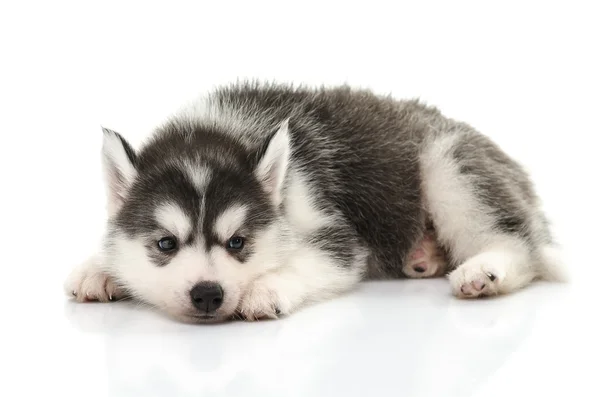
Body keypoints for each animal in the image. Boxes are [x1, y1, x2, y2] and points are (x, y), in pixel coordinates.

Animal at [63, 81, 564, 322]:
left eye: (238, 243)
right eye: (166, 244)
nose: (208, 294)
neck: (221, 130)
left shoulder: (338, 235)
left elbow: (316, 258)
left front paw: (266, 288)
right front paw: (98, 267)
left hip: (449, 163)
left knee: (518, 243)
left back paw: (486, 270)